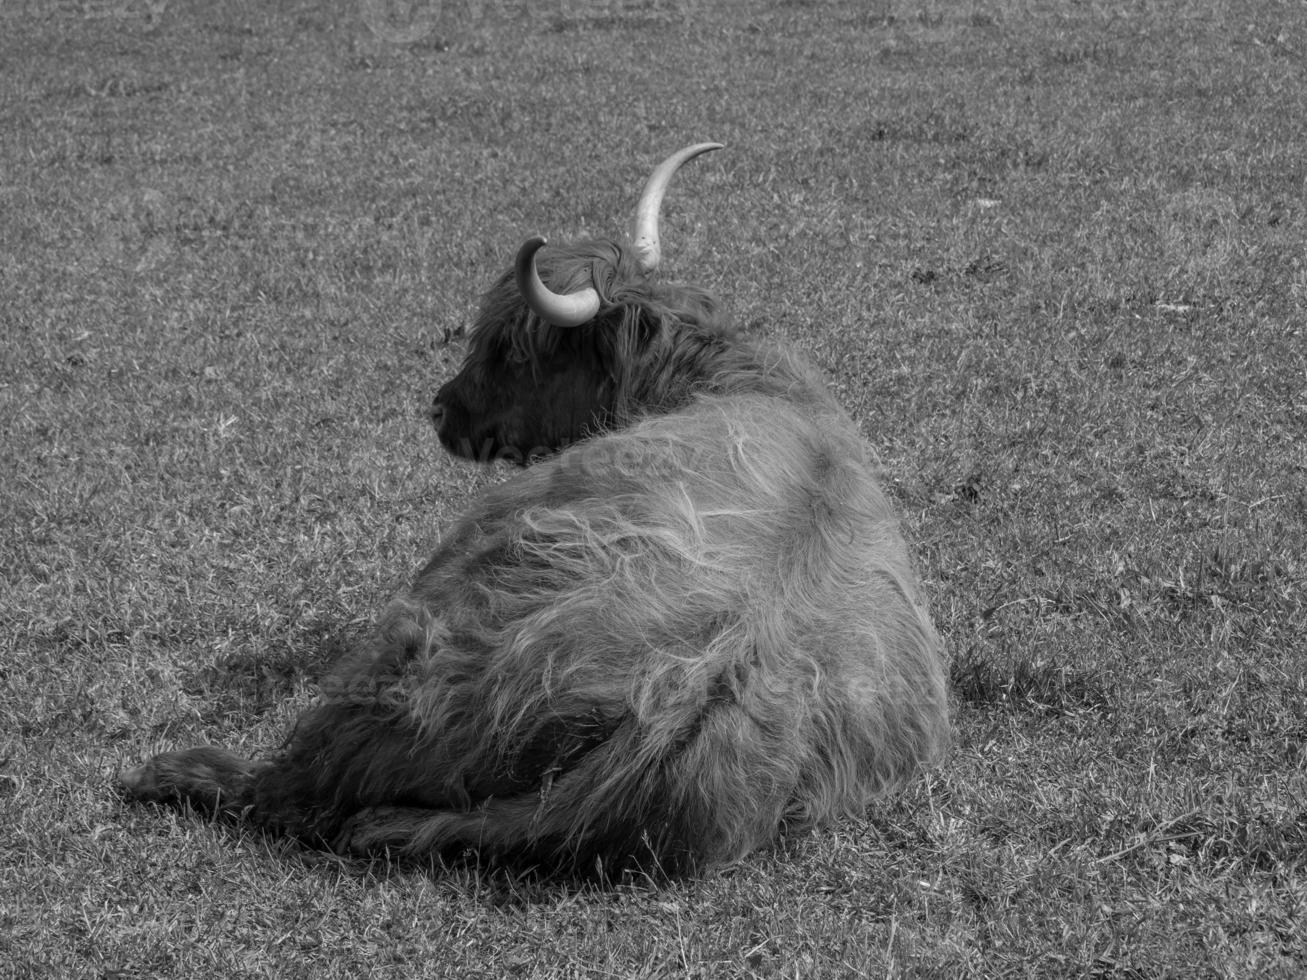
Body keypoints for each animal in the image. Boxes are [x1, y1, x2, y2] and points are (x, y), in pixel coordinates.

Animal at [117, 141, 951, 878]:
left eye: (513, 348)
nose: (442, 409)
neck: (733, 380)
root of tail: (687, 689)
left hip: (407, 649)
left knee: (290, 790)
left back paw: (165, 771)